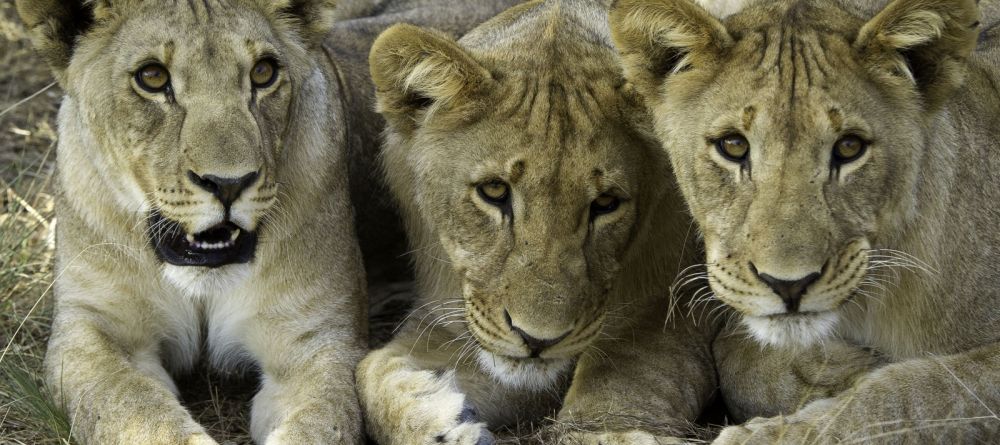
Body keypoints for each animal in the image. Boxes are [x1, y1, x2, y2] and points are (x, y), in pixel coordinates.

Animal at [356, 0, 724, 444]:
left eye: (606, 202)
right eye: (494, 190)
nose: (537, 340)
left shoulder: (672, 304)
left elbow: (627, 376)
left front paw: (611, 432)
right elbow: (368, 368)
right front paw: (436, 420)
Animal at [612, 0, 1000, 442]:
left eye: (849, 147)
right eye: (733, 145)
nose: (789, 285)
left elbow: (914, 392)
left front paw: (769, 433)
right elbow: (737, 360)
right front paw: (840, 368)